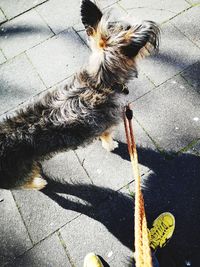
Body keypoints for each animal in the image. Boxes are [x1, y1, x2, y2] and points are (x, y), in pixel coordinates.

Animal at [0, 0, 159, 191]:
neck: (99, 82)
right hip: (20, 174)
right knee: (27, 183)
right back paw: (39, 182)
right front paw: (112, 145)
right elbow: (107, 138)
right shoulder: (106, 127)